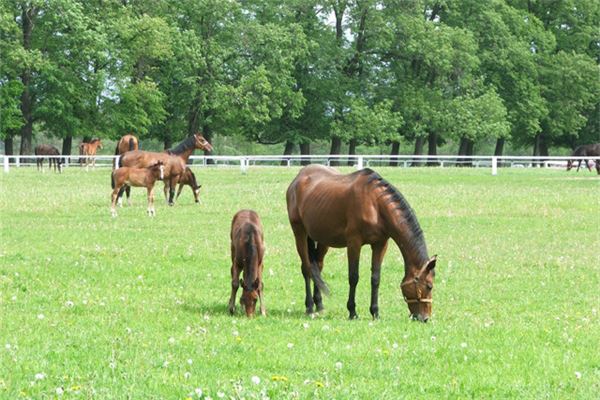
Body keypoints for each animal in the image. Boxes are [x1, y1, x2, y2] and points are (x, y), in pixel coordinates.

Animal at [286, 165, 436, 322]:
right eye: (429, 286)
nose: (425, 318)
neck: (375, 204)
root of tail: (298, 178)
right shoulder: (354, 243)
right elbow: (354, 277)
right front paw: (352, 311)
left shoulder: (380, 244)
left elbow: (375, 278)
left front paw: (375, 312)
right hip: (300, 233)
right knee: (307, 268)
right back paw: (309, 306)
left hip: (322, 239)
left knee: (318, 267)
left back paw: (319, 304)